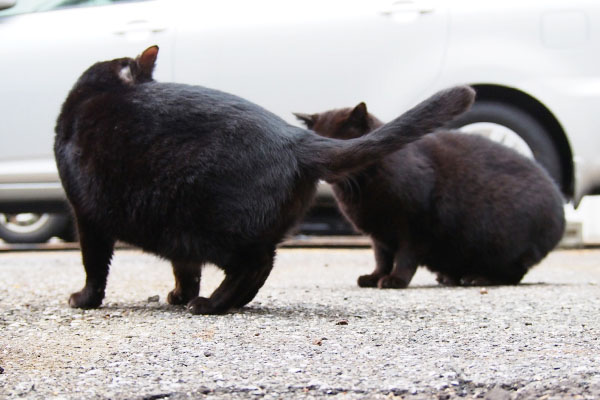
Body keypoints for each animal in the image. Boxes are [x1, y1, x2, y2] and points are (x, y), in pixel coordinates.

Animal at [54, 44, 476, 312]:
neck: (101, 90)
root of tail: (296, 139)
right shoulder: (173, 244)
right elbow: (185, 269)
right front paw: (178, 294)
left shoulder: (85, 216)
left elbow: (94, 265)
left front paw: (85, 300)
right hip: (194, 226)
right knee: (260, 264)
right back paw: (225, 302)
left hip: (211, 226)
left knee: (253, 265)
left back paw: (211, 305)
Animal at [296, 100, 568, 288]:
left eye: (338, 141)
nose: (326, 167)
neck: (361, 190)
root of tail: (559, 201)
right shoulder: (379, 236)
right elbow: (381, 258)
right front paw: (374, 277)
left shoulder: (415, 228)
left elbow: (405, 257)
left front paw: (395, 280)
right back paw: (449, 277)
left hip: (504, 246)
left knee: (513, 273)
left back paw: (477, 278)